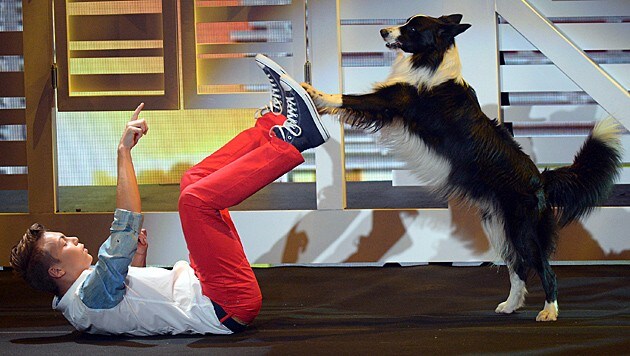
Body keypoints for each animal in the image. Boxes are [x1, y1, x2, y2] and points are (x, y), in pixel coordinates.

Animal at [304, 13, 624, 322]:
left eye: (412, 28)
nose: (383, 31)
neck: (433, 59)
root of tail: (541, 180)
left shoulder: (393, 100)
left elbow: (347, 98)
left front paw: (313, 92)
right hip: (499, 226)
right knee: (518, 266)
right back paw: (510, 306)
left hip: (523, 229)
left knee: (544, 268)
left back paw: (549, 311)